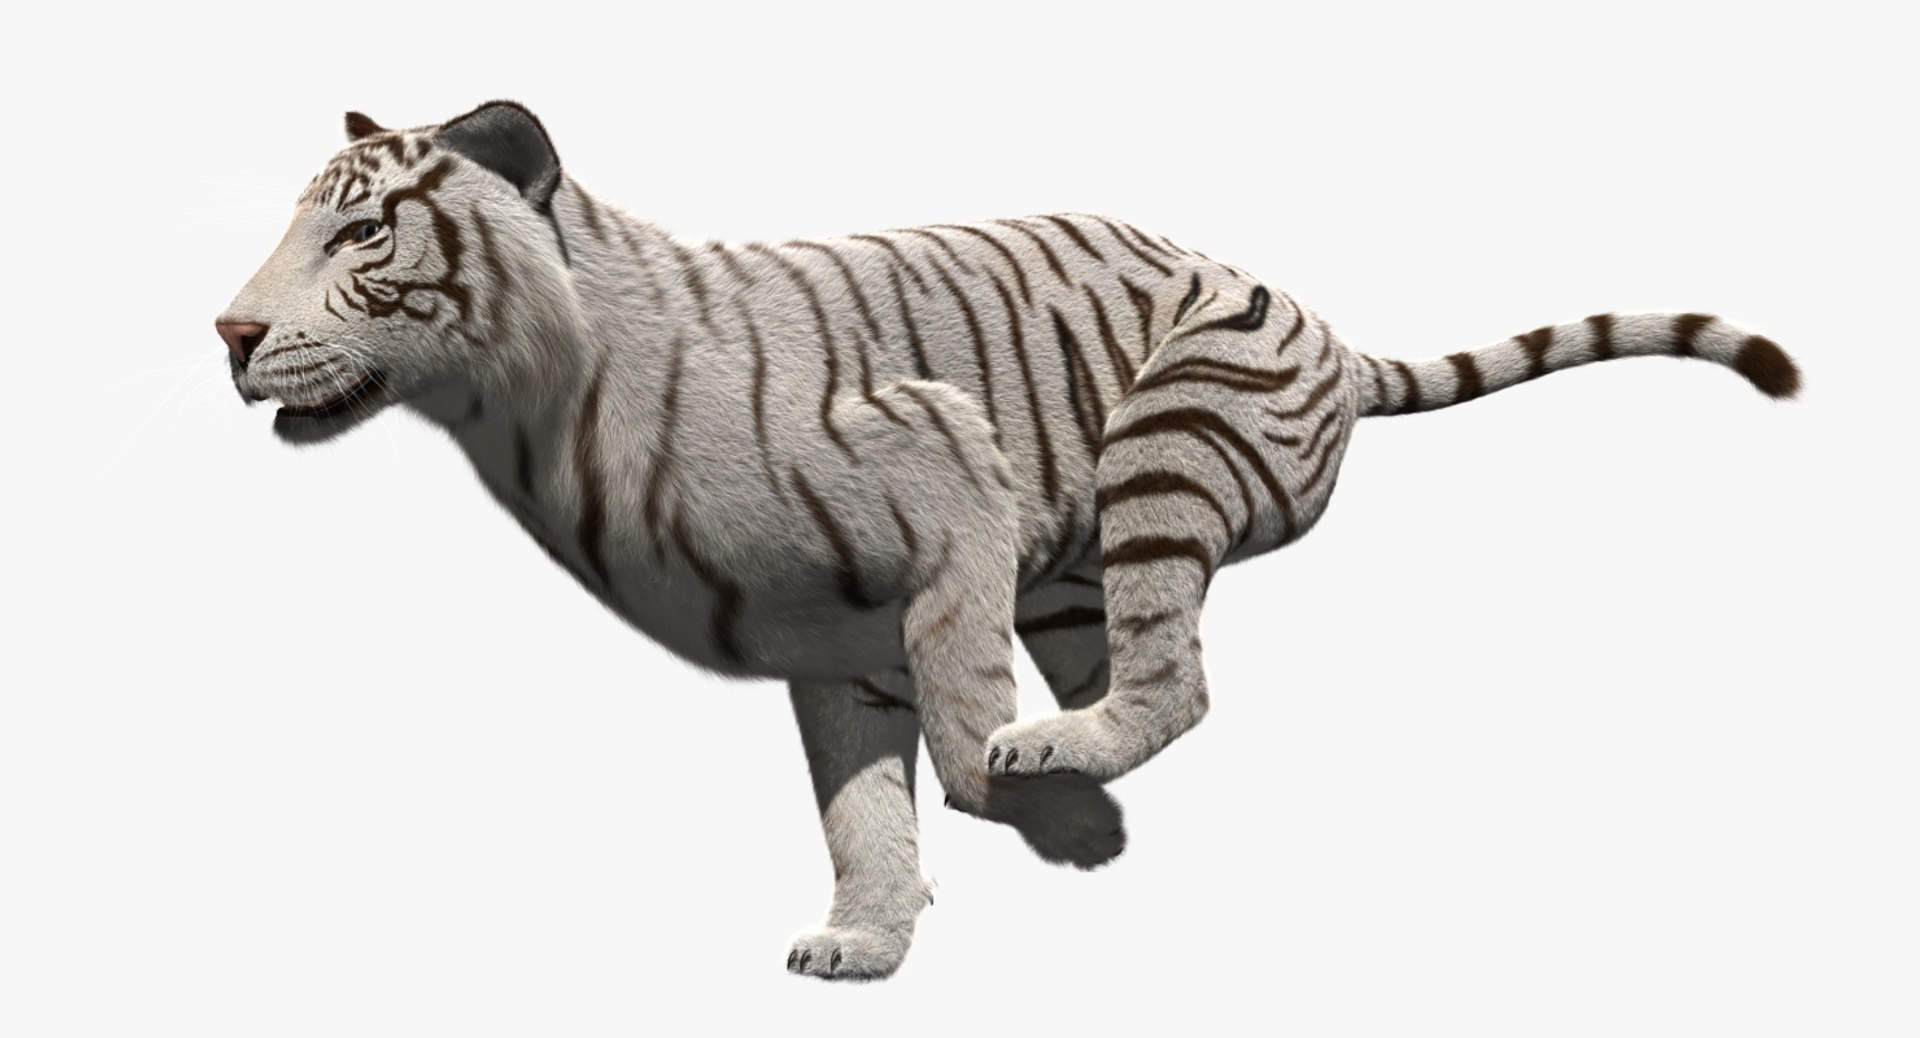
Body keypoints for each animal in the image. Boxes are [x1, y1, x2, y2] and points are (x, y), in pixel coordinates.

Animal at [215, 100, 1801, 981]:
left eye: (361, 236)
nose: (227, 332)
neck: (529, 413)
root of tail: (1327, 330)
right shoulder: (828, 647)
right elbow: (861, 810)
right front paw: (867, 940)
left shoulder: (947, 481)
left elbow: (958, 718)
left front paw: (1021, 794)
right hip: (1085, 571)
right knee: (1151, 675)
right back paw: (1079, 776)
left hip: (1165, 447)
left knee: (1178, 679)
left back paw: (1061, 757)